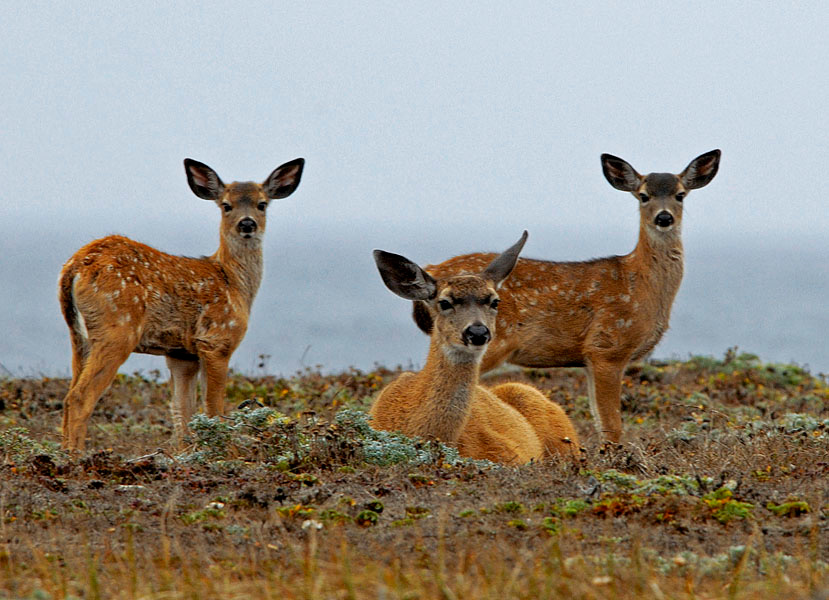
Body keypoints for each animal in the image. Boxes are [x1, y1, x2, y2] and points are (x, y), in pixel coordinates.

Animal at [58, 157, 305, 450]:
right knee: (80, 397)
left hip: (78, 335)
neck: (233, 283)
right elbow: (213, 409)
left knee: (67, 396)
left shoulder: (181, 353)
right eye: (226, 205)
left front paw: (185, 452)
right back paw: (77, 457)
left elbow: (182, 412)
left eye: (262, 203)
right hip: (117, 328)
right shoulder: (217, 340)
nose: (247, 224)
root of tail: (75, 268)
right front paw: (226, 452)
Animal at [412, 150, 721, 444]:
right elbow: (612, 426)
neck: (641, 285)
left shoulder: (589, 359)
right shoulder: (607, 346)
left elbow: (600, 421)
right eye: (643, 195)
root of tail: (431, 270)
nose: (664, 217)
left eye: (680, 194)